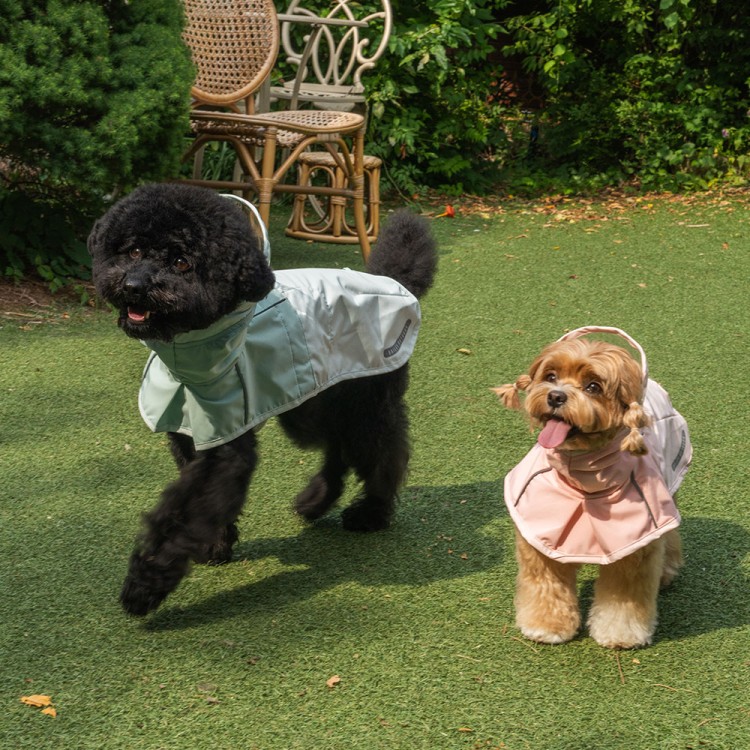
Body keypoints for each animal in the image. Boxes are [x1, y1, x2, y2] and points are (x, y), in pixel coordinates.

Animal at [88, 183, 437, 616]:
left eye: (182, 262)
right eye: (133, 251)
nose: (134, 286)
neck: (191, 354)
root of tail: (393, 281)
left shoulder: (224, 446)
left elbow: (182, 512)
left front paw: (144, 585)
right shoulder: (188, 433)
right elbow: (199, 504)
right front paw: (215, 545)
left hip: (362, 401)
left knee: (384, 451)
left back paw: (371, 512)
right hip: (310, 401)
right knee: (338, 448)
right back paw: (316, 500)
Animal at [493, 327, 691, 648]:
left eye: (593, 386)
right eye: (551, 376)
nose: (555, 396)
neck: (582, 477)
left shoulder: (635, 544)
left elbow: (623, 597)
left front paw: (621, 635)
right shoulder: (538, 532)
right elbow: (545, 584)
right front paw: (545, 625)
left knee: (670, 534)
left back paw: (667, 570)